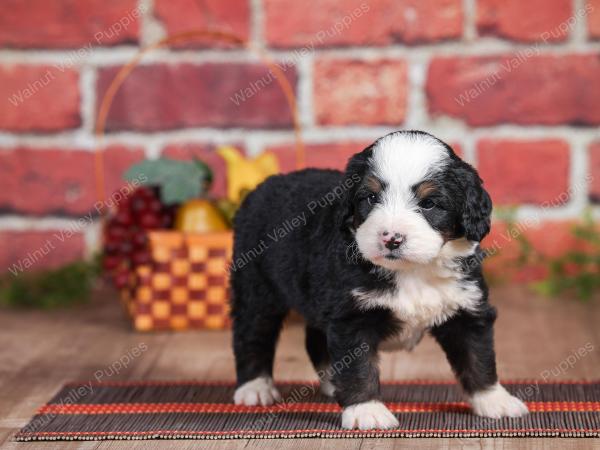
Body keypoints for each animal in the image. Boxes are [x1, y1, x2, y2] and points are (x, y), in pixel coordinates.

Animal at [227, 129, 528, 428]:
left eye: (429, 203)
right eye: (371, 198)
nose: (391, 238)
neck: (412, 271)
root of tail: (262, 187)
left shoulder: (466, 308)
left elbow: (478, 357)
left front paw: (494, 400)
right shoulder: (352, 317)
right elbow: (359, 368)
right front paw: (366, 410)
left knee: (314, 338)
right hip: (256, 290)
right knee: (252, 335)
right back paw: (255, 387)